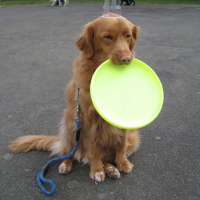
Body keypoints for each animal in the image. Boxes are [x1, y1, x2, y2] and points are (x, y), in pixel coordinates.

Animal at [9, 13, 141, 183]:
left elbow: (121, 144)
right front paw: (97, 170)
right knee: (74, 153)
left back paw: (111, 168)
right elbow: (93, 150)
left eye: (128, 36)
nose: (126, 58)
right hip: (70, 124)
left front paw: (122, 162)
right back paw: (68, 164)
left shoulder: (124, 118)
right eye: (108, 37)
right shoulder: (87, 119)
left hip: (133, 137)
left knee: (96, 155)